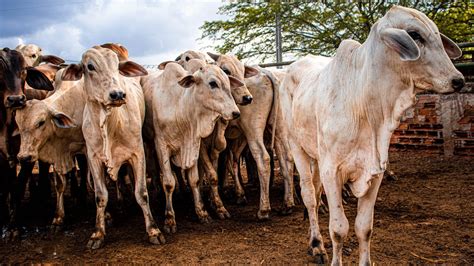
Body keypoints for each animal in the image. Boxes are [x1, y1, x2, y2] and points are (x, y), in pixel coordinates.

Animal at [280, 5, 464, 264]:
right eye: (414, 35)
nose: (458, 80)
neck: (365, 104)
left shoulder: (375, 173)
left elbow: (363, 228)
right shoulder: (331, 172)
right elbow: (339, 229)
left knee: (315, 194)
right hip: (297, 146)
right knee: (309, 195)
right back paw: (316, 244)